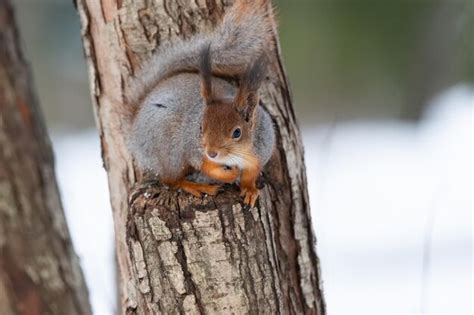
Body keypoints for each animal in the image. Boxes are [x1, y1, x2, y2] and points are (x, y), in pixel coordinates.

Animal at [126, 0, 276, 207]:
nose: (212, 153)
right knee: (170, 180)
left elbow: (250, 174)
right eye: (200, 128)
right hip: (169, 152)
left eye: (237, 133)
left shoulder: (259, 153)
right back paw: (196, 186)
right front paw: (229, 175)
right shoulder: (194, 149)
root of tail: (133, 131)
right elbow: (206, 166)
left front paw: (250, 189)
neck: (236, 155)